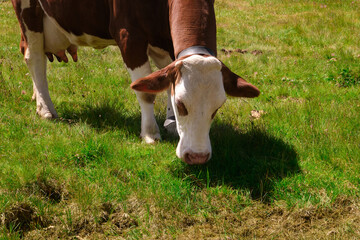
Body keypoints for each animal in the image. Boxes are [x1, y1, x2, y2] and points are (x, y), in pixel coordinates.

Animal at [10, 0, 258, 164]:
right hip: (28, 12)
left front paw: (170, 123)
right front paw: (150, 133)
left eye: (217, 109)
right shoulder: (128, 35)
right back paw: (45, 108)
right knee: (34, 56)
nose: (197, 157)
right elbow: (146, 91)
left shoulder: (166, 37)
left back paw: (36, 96)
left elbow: (166, 78)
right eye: (181, 105)